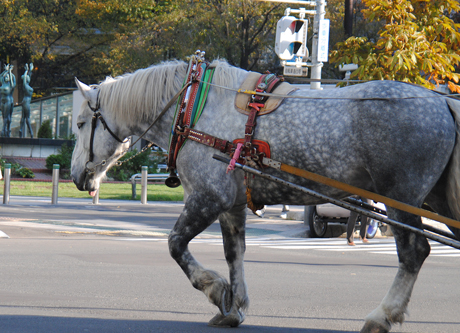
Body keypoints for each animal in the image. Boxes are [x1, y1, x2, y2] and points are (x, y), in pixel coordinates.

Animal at [70, 60, 460, 332]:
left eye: (79, 123)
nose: (76, 176)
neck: (192, 108)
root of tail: (441, 101)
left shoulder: (207, 198)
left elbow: (176, 245)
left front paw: (215, 290)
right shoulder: (231, 204)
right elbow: (235, 253)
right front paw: (234, 306)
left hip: (401, 198)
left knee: (414, 253)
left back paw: (382, 316)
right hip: (439, 200)